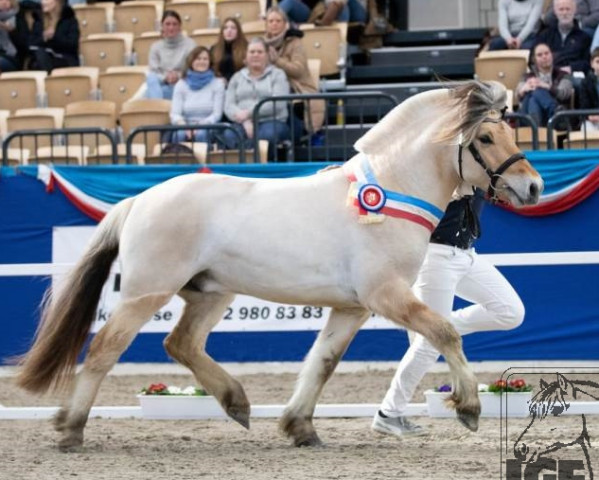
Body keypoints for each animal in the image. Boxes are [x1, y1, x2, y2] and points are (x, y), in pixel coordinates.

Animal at [17, 79, 544, 450]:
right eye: (487, 137)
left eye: (509, 131)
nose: (533, 186)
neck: (394, 192)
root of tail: (138, 201)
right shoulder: (386, 294)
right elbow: (445, 332)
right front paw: (469, 407)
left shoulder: (352, 307)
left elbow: (323, 362)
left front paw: (300, 427)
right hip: (146, 293)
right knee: (105, 349)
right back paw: (71, 429)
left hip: (211, 292)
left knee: (180, 343)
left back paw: (237, 404)